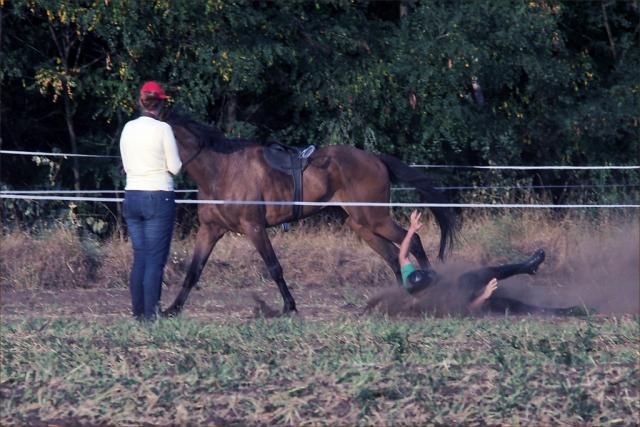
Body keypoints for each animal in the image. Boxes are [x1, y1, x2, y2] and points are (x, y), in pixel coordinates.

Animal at [162, 112, 458, 316]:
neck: (221, 170)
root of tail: (376, 159)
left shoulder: (253, 227)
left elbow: (274, 267)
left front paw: (289, 306)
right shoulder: (210, 229)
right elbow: (194, 270)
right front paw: (172, 309)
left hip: (376, 219)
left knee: (413, 241)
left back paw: (429, 286)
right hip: (361, 224)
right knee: (393, 256)